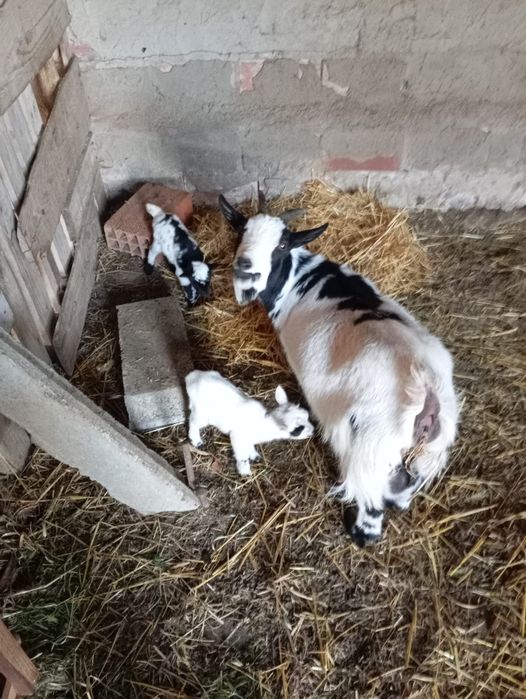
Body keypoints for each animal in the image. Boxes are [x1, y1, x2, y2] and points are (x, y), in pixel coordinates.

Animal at [185, 370, 314, 476]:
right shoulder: (237, 435)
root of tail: (191, 378)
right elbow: (241, 454)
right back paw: (197, 441)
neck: (265, 424)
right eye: (298, 429)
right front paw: (244, 470)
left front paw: (254, 455)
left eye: (307, 416)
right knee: (193, 423)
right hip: (202, 413)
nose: (313, 432)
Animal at [219, 194, 458, 546]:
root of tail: (426, 395)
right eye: (241, 231)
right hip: (426, 452)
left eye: (281, 245)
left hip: (370, 449)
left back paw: (360, 532)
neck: (300, 277)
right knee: (403, 487)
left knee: (372, 504)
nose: (245, 269)